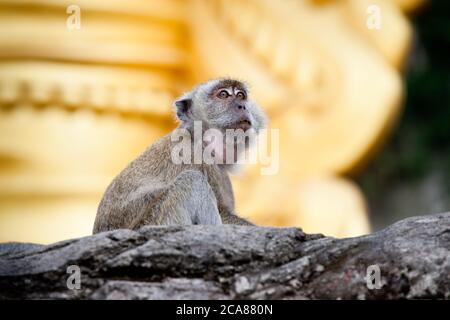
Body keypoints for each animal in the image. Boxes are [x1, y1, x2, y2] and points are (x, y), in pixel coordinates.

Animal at [92, 78, 266, 232]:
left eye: (241, 95)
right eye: (223, 94)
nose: (242, 106)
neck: (199, 137)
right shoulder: (192, 155)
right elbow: (223, 213)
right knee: (192, 180)